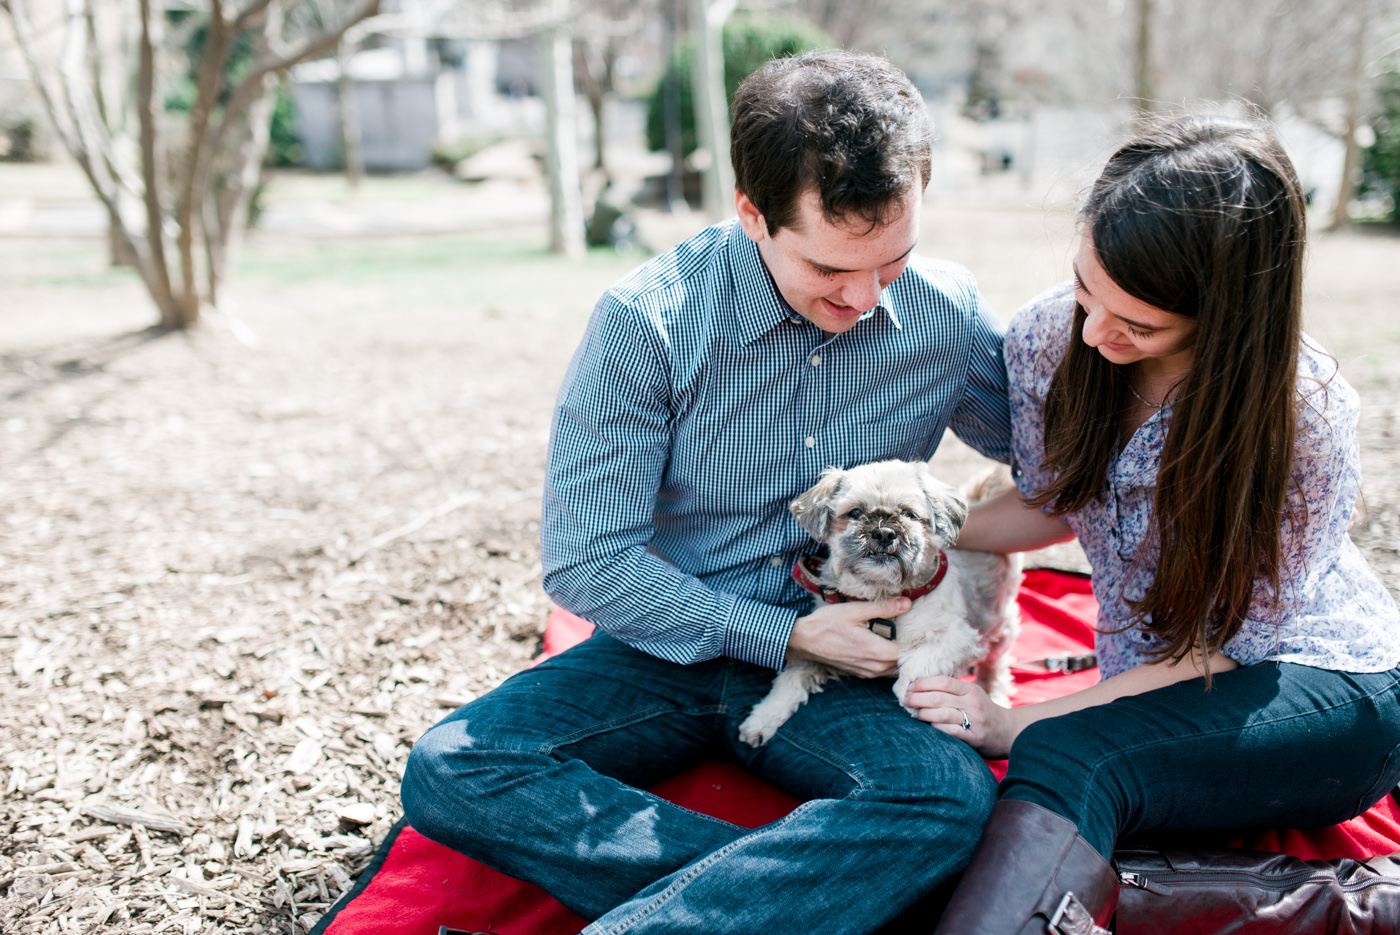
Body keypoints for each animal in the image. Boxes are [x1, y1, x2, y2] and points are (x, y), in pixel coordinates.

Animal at [739, 459, 1024, 744]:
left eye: (908, 514)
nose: (884, 533)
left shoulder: (957, 637)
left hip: (996, 621)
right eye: (855, 512)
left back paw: (993, 692)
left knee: (995, 661)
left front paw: (910, 694)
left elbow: (917, 663)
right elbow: (791, 678)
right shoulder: (819, 645)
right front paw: (763, 718)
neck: (880, 593)